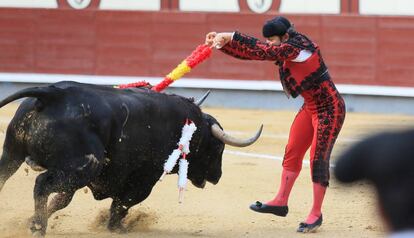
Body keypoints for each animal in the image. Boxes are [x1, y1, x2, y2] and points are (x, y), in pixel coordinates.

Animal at [0, 82, 262, 236]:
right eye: (217, 147)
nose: (218, 176)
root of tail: (53, 93)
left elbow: (62, 200)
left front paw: (30, 219)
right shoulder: (144, 178)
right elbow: (124, 202)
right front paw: (117, 228)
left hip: (13, 154)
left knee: (5, 177)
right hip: (83, 166)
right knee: (42, 184)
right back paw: (38, 229)